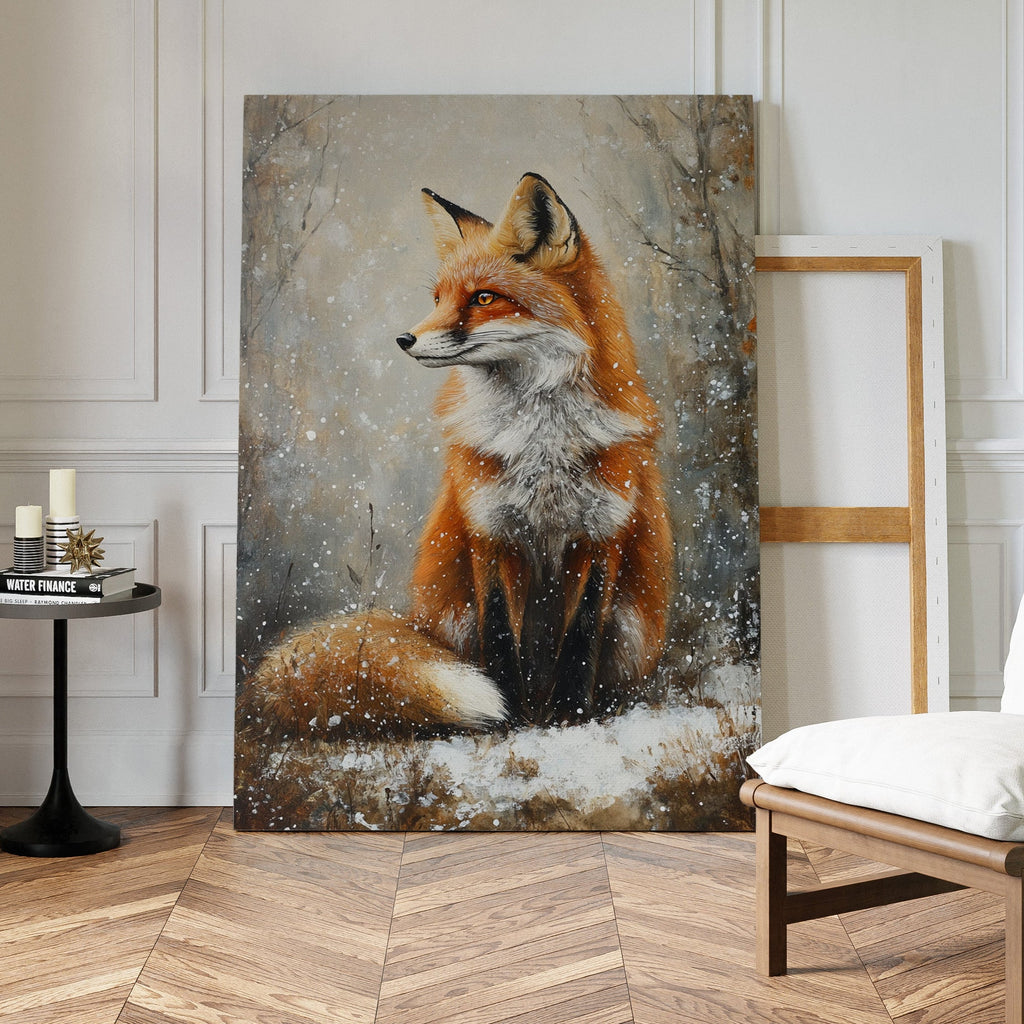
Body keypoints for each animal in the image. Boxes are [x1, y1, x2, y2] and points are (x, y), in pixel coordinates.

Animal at [239, 173, 673, 743]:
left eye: (484, 297)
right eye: (439, 297)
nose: (404, 338)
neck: (542, 442)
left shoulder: (602, 536)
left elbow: (580, 639)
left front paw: (571, 718)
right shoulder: (489, 532)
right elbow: (499, 635)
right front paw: (510, 716)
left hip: (635, 624)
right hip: (449, 613)